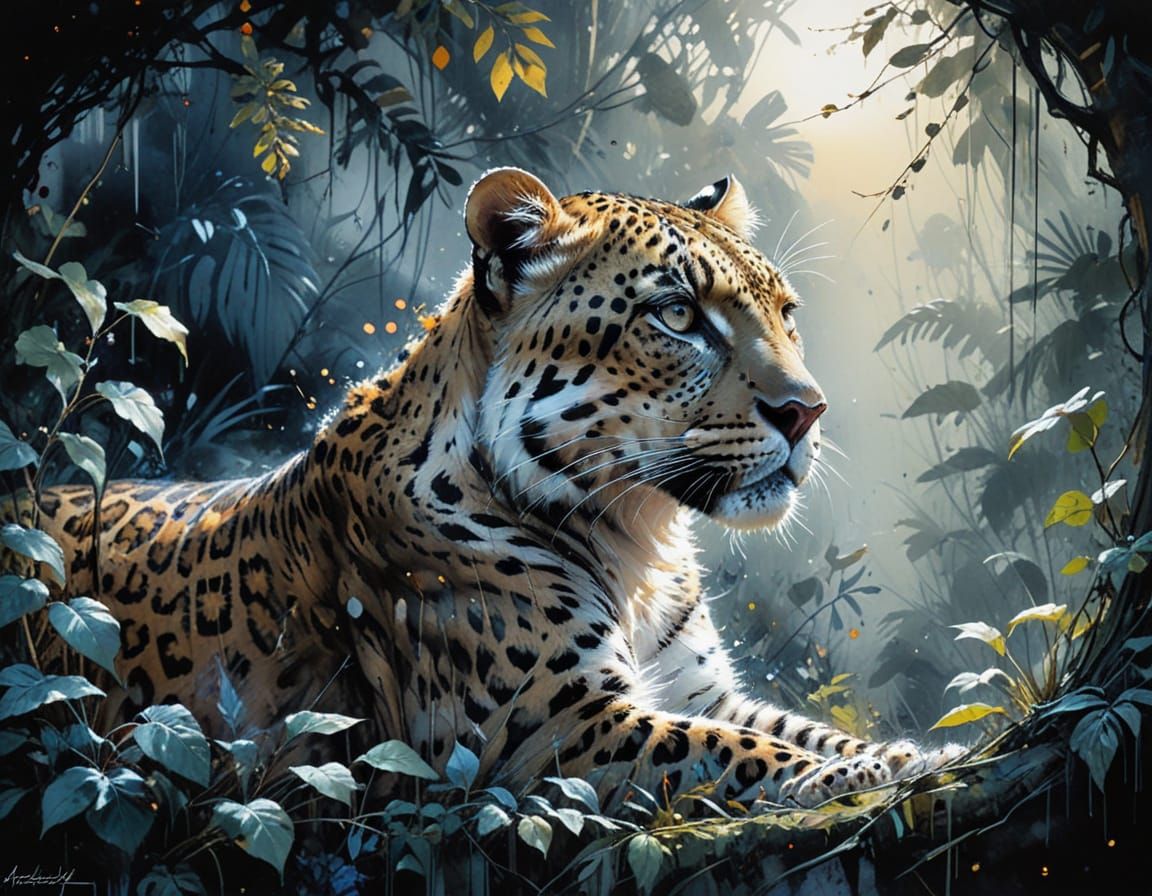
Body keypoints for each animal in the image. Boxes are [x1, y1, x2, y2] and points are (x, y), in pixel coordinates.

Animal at [6, 168, 960, 809]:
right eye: (678, 315)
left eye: (785, 314)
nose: (807, 410)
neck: (641, 540)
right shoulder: (543, 730)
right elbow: (732, 754)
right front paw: (863, 771)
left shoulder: (696, 690)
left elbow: (783, 729)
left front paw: (905, 752)